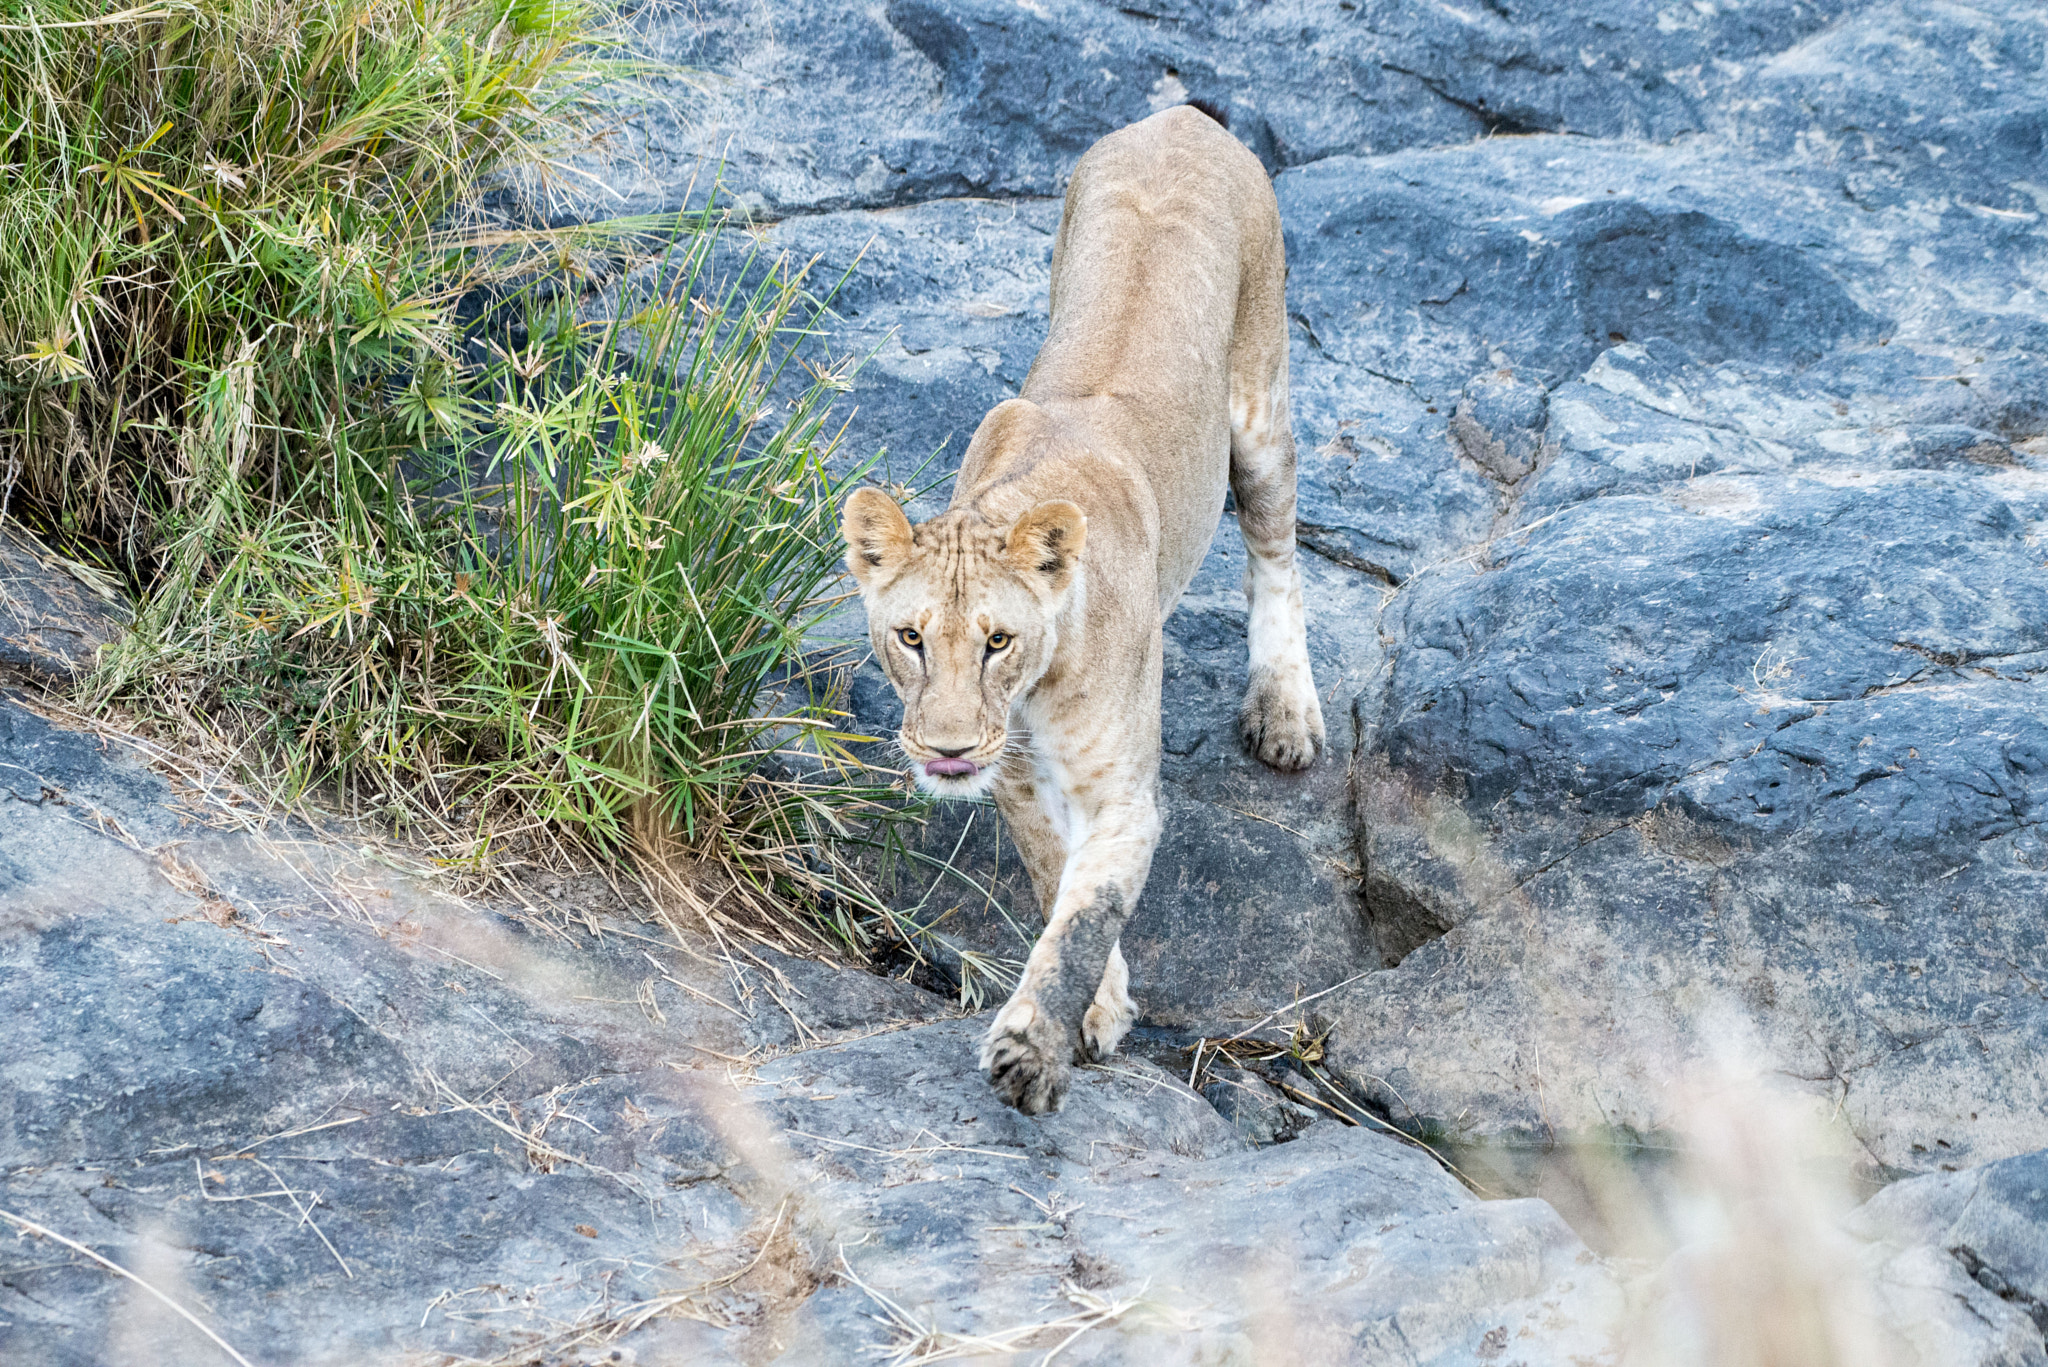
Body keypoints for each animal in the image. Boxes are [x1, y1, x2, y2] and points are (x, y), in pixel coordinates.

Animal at [842, 104, 1324, 1114]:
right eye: (909, 638)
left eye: (998, 640)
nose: (948, 749)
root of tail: (1182, 118)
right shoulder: (1019, 782)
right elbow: (1055, 878)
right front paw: (1100, 1007)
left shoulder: (1125, 793)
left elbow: (1085, 913)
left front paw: (1034, 1048)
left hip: (1260, 400)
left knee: (1276, 550)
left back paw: (1285, 710)